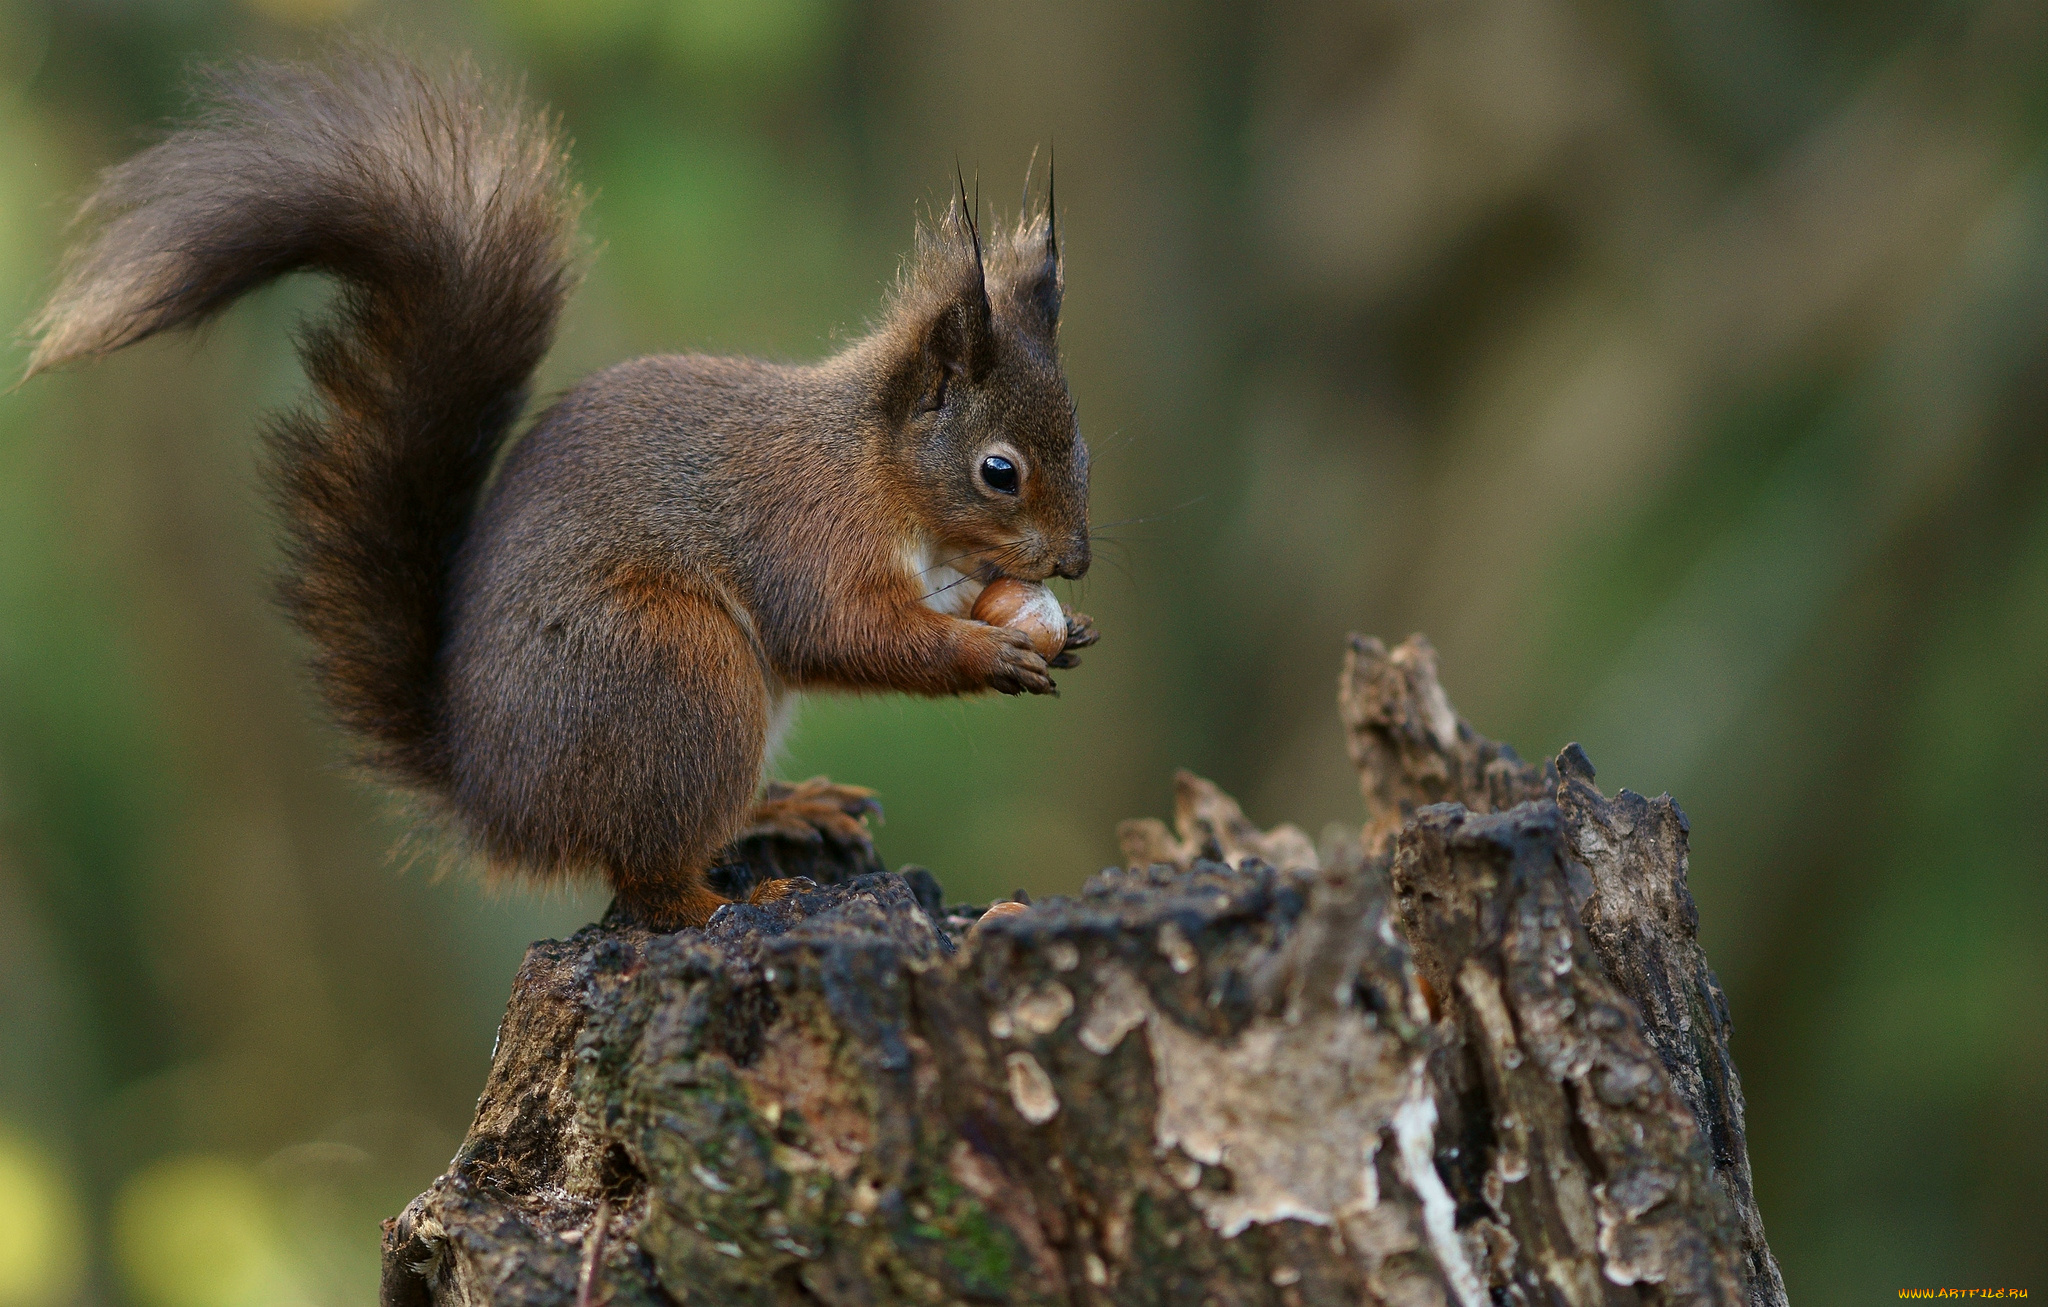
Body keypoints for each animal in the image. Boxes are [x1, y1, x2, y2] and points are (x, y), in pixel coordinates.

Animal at [24, 51, 1097, 934]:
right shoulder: (807, 531)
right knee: (646, 879)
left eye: (1082, 440)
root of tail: (498, 801)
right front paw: (989, 651)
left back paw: (784, 805)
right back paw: (725, 901)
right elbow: (845, 630)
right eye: (999, 471)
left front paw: (1062, 628)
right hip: (675, 666)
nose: (1078, 560)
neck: (875, 466)